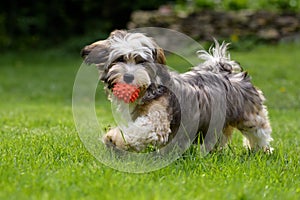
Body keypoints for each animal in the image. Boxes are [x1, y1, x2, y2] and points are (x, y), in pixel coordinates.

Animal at [81, 29, 274, 153]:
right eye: (120, 59)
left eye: (141, 61)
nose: (128, 77)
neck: (148, 90)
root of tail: (226, 72)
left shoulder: (157, 122)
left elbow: (140, 132)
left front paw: (114, 138)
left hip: (249, 116)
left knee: (259, 131)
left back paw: (261, 150)